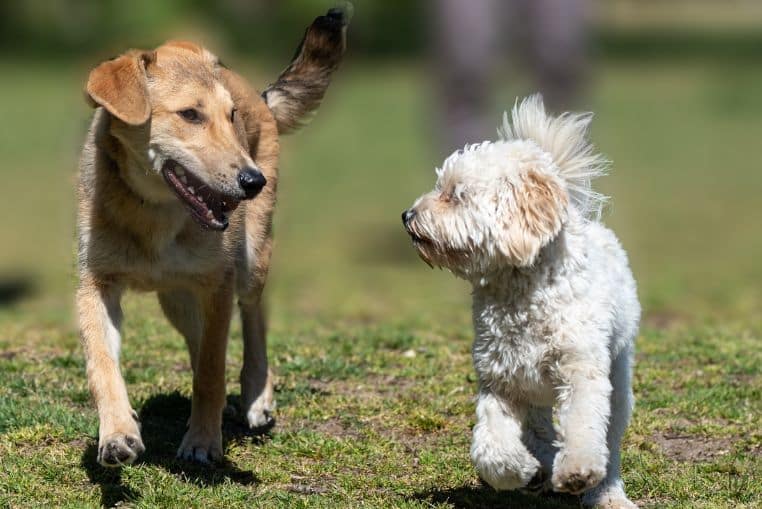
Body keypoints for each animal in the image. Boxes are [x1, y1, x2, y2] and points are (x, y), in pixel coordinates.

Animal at [75, 8, 348, 468]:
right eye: (190, 114)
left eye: (230, 116)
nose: (253, 180)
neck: (154, 213)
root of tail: (260, 96)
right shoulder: (96, 284)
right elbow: (103, 365)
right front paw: (117, 433)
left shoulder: (218, 284)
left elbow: (211, 371)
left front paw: (203, 441)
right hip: (177, 299)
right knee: (199, 338)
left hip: (251, 260)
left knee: (253, 317)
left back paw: (256, 396)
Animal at [400, 96, 640, 508]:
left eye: (455, 194)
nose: (407, 215)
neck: (520, 290)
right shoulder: (501, 380)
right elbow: (490, 448)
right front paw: (520, 470)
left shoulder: (581, 371)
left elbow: (583, 427)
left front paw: (577, 472)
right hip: (534, 391)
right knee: (540, 428)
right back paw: (541, 466)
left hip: (618, 377)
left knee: (607, 440)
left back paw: (606, 492)